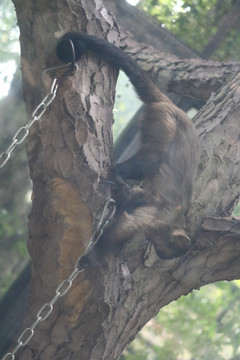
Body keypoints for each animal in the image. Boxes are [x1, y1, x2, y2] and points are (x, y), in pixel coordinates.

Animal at [56, 31, 199, 268]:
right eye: (159, 246)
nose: (156, 250)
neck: (176, 221)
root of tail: (173, 105)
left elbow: (137, 202)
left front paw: (127, 200)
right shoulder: (161, 217)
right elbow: (129, 224)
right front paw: (92, 258)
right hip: (164, 121)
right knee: (155, 157)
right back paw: (119, 174)